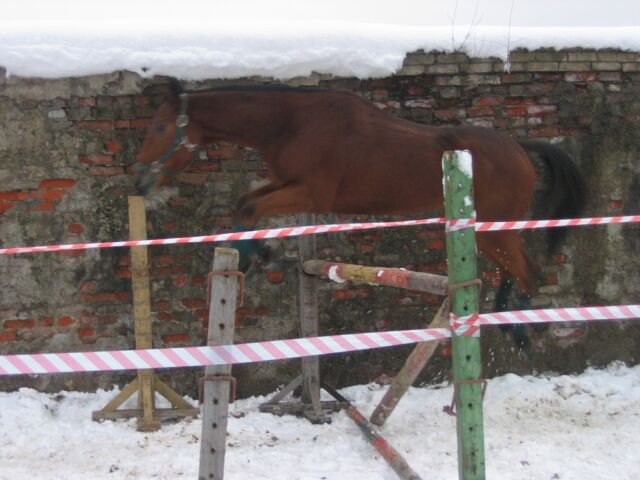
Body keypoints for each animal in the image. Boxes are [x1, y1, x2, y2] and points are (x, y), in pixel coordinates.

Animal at [134, 83, 584, 348]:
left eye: (158, 127)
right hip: (490, 230)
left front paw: (256, 257)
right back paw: (506, 323)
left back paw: (520, 332)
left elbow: (248, 206)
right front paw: (252, 256)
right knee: (512, 272)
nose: (139, 182)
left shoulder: (309, 191)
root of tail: (520, 149)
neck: (291, 123)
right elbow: (244, 202)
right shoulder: (286, 185)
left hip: (493, 231)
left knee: (528, 274)